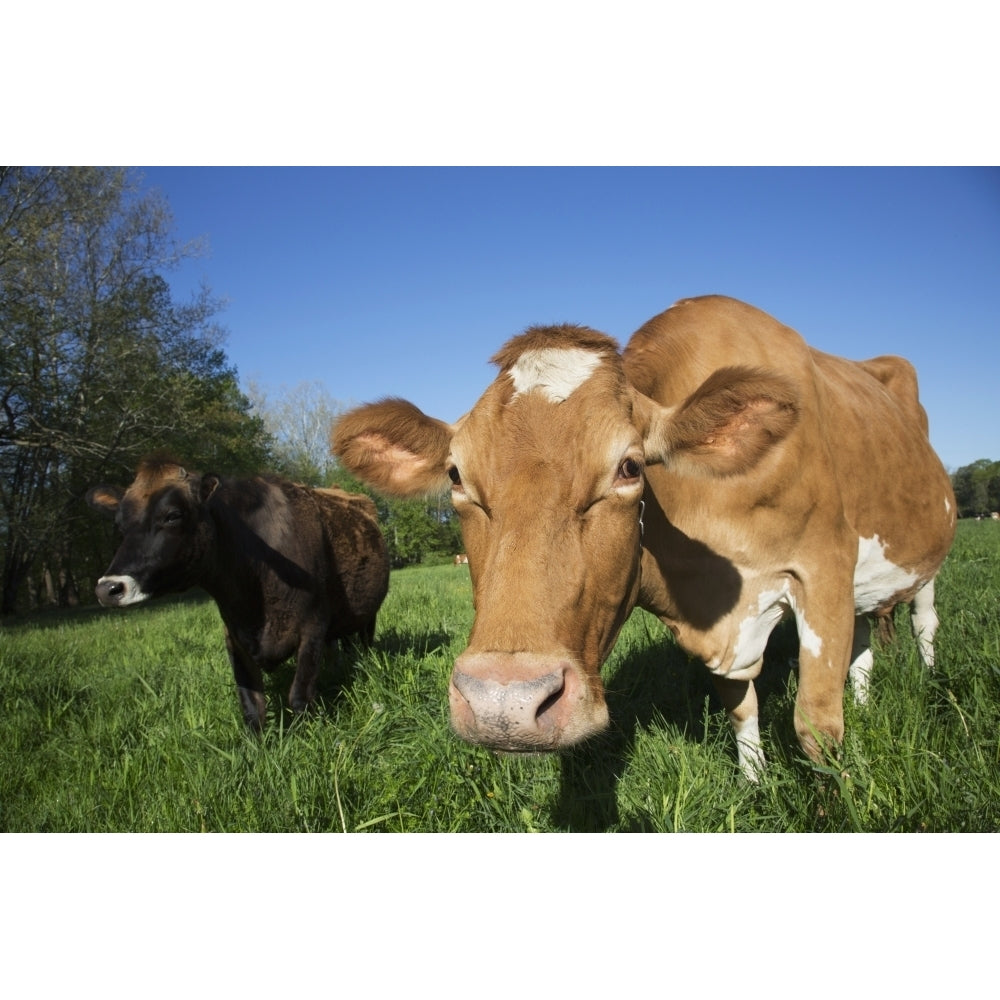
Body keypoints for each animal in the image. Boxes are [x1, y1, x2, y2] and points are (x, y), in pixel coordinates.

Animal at [88, 458, 388, 728]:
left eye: (172, 515)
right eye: (120, 524)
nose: (108, 588)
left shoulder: (312, 627)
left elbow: (299, 697)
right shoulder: (234, 635)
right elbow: (251, 706)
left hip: (367, 614)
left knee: (363, 639)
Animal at [332, 296, 956, 780]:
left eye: (630, 468)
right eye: (457, 476)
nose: (502, 703)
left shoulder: (824, 565)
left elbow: (817, 728)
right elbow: (741, 707)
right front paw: (754, 783)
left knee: (924, 620)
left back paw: (931, 679)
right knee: (866, 640)